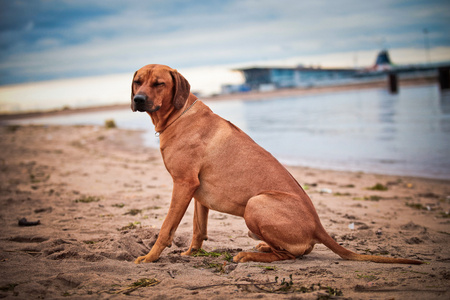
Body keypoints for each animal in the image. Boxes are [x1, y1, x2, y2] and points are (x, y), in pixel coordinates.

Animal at [130, 63, 422, 264]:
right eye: (137, 82)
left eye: (159, 83)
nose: (138, 100)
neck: (178, 115)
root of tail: (318, 227)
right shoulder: (197, 192)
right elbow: (197, 230)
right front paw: (191, 253)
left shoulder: (183, 184)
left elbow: (166, 227)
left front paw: (150, 257)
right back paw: (261, 247)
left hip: (256, 203)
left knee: (289, 256)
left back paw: (250, 255)